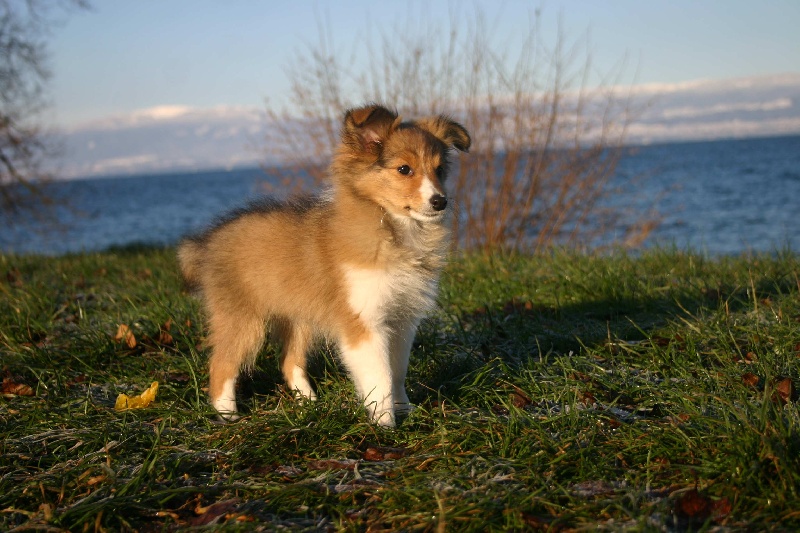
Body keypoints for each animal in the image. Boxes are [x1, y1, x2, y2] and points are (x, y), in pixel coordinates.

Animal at [177, 104, 468, 426]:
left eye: (440, 170)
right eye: (404, 169)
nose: (440, 201)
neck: (396, 230)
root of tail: (207, 242)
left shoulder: (403, 320)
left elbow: (398, 372)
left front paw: (405, 409)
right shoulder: (364, 322)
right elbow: (380, 376)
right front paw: (385, 424)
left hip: (298, 319)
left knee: (289, 361)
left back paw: (309, 404)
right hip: (242, 319)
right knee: (221, 365)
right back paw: (229, 416)